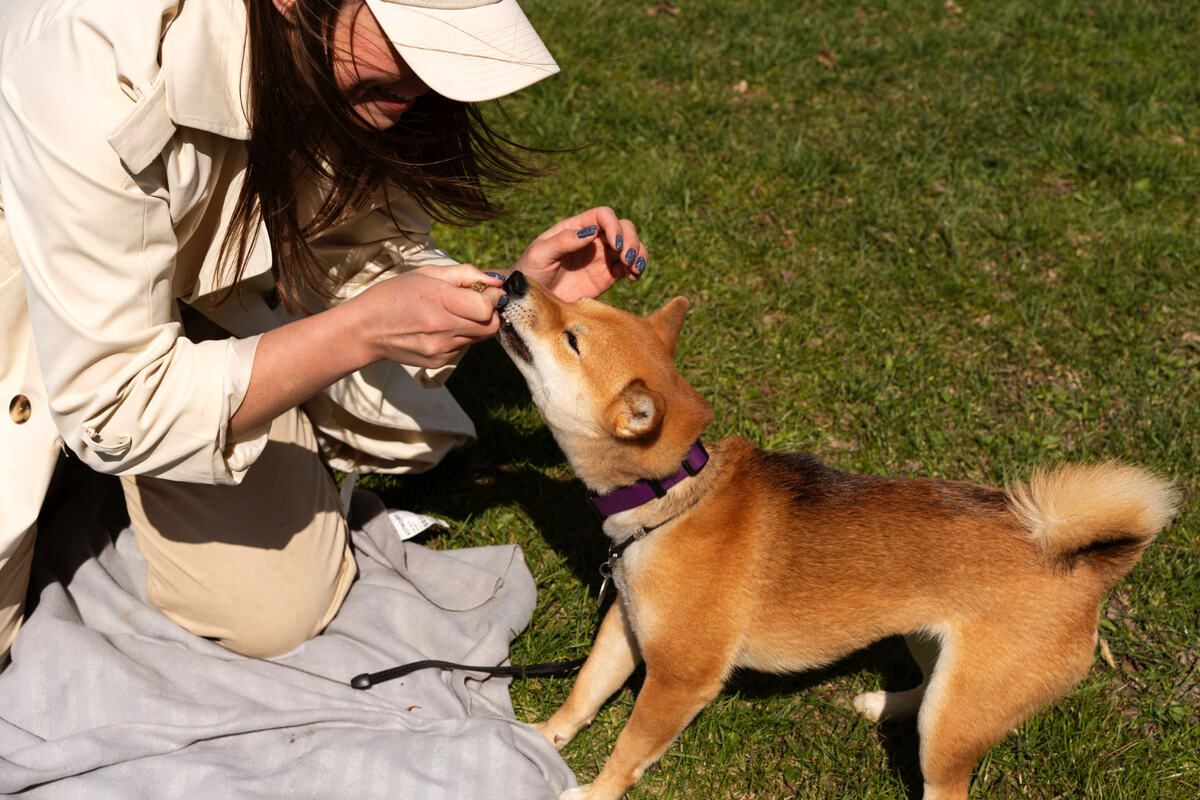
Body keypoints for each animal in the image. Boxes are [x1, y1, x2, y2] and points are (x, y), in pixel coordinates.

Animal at [492, 271, 1176, 800]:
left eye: (573, 338)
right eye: (578, 306)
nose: (518, 278)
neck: (671, 499)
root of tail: (1088, 568)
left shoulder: (681, 678)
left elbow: (631, 748)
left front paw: (593, 791)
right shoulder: (626, 628)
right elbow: (585, 692)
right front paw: (543, 736)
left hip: (959, 724)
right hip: (926, 642)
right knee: (927, 692)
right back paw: (888, 704)